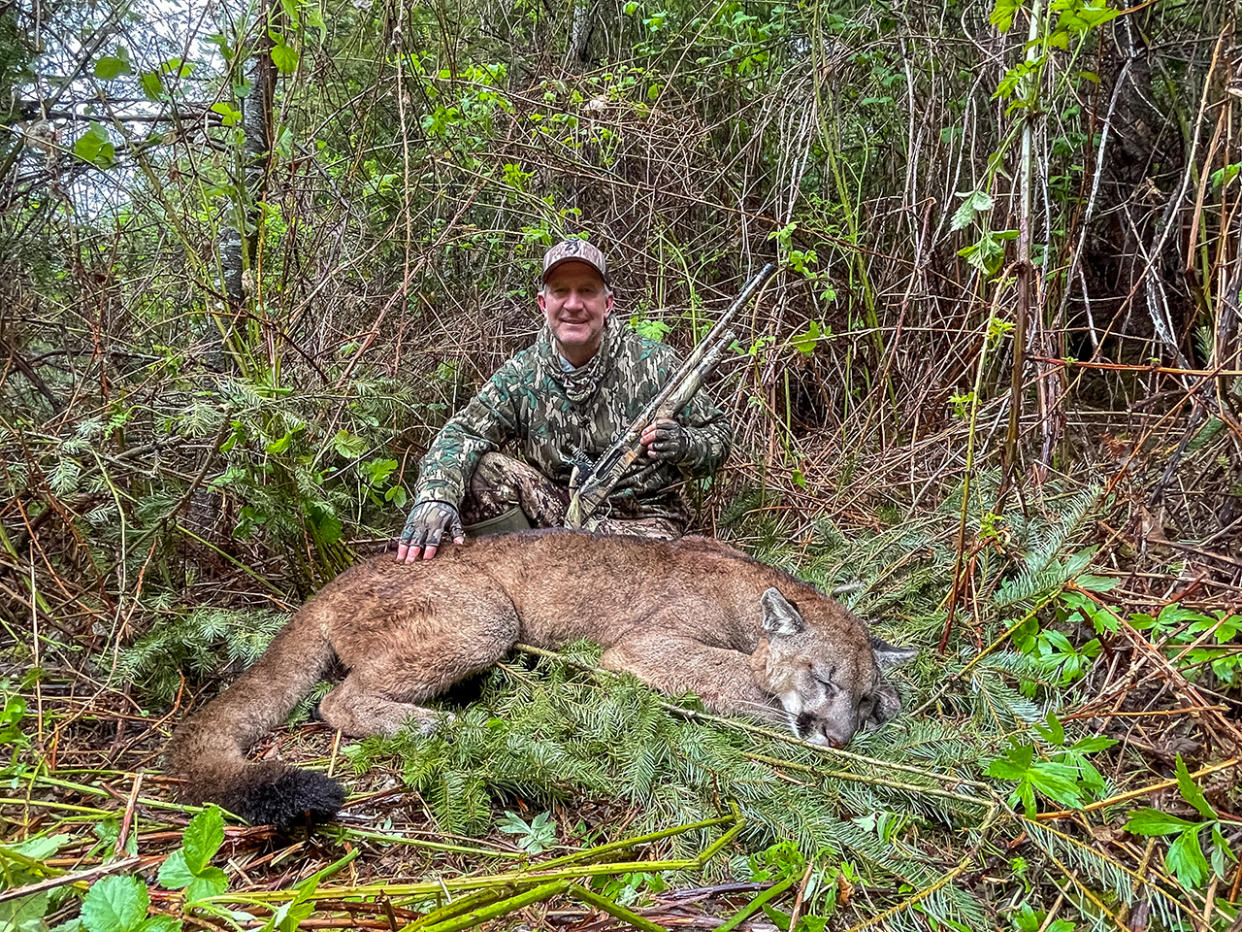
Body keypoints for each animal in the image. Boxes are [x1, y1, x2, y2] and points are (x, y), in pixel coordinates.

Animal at [165, 529, 919, 830]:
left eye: (863, 699)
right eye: (823, 680)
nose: (843, 737)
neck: (743, 591)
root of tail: (338, 578)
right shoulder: (646, 646)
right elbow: (740, 678)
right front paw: (786, 720)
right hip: (486, 617)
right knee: (335, 698)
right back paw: (434, 722)